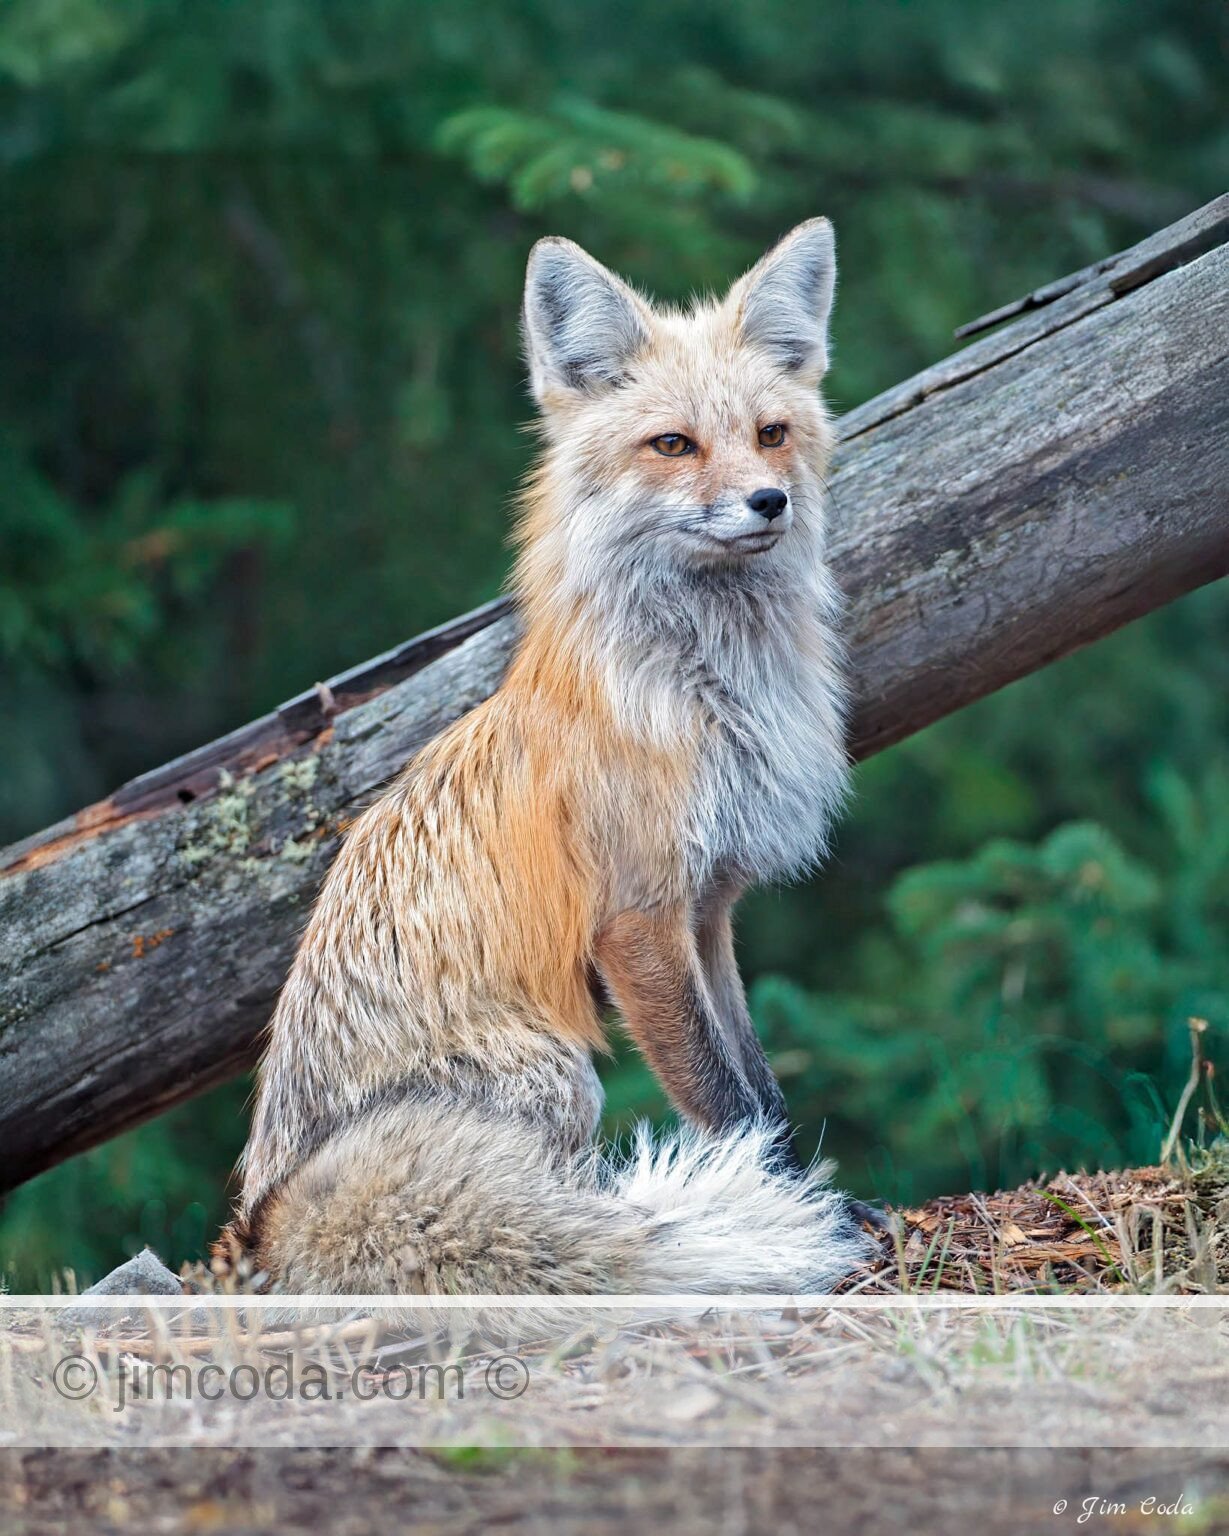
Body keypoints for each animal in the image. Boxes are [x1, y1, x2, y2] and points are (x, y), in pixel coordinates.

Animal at [215, 218, 876, 1300]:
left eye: (771, 432)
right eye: (673, 444)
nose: (768, 501)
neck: (712, 697)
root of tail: (261, 1227)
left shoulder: (707, 910)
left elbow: (760, 1082)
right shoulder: (636, 921)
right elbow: (725, 1098)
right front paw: (795, 1210)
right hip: (559, 1075)